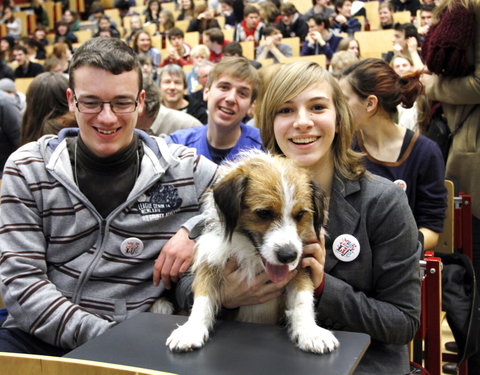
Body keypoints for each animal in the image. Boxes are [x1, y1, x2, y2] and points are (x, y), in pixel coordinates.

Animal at [167, 151, 340, 356]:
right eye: (264, 213)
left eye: (300, 215)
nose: (288, 256)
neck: (251, 254)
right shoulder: (211, 261)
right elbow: (202, 298)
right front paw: (191, 330)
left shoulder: (301, 266)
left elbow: (303, 299)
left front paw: (310, 332)